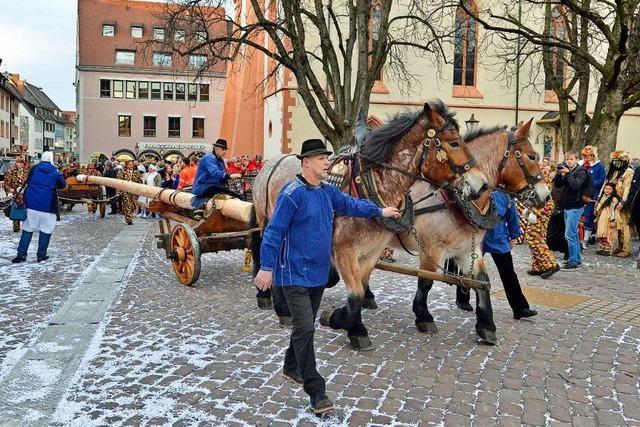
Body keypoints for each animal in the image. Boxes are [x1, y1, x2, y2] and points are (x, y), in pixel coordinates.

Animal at [251, 102, 490, 350]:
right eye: (454, 142)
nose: (482, 185)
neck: (371, 185)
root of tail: (272, 163)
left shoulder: (372, 251)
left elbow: (360, 287)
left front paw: (346, 322)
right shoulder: (344, 250)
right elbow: (356, 292)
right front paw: (345, 324)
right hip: (268, 222)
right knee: (267, 257)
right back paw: (275, 303)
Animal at [356, 118, 552, 346]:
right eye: (532, 156)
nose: (546, 195)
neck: (456, 201)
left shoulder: (468, 250)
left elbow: (483, 282)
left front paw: (486, 326)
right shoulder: (432, 250)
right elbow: (426, 281)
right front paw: (424, 317)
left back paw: (367, 297)